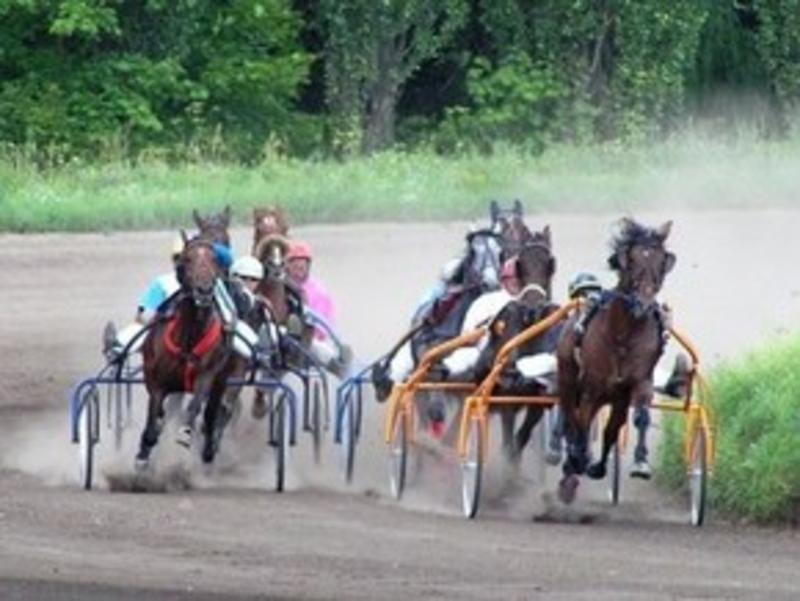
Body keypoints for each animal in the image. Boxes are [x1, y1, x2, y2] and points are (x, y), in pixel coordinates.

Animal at [136, 232, 238, 466]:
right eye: (187, 259)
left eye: (215, 260)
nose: (204, 290)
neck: (188, 339)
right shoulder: (155, 379)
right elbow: (154, 411)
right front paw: (145, 447)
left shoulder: (208, 374)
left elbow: (196, 405)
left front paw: (185, 433)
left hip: (221, 380)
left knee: (211, 413)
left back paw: (209, 446)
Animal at [556, 218, 676, 500]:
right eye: (630, 259)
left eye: (661, 260)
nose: (643, 304)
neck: (623, 336)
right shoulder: (591, 385)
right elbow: (581, 420)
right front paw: (577, 458)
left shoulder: (639, 381)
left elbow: (638, 416)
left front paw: (640, 463)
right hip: (568, 378)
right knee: (572, 417)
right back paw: (573, 462)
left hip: (616, 397)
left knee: (610, 427)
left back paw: (593, 464)